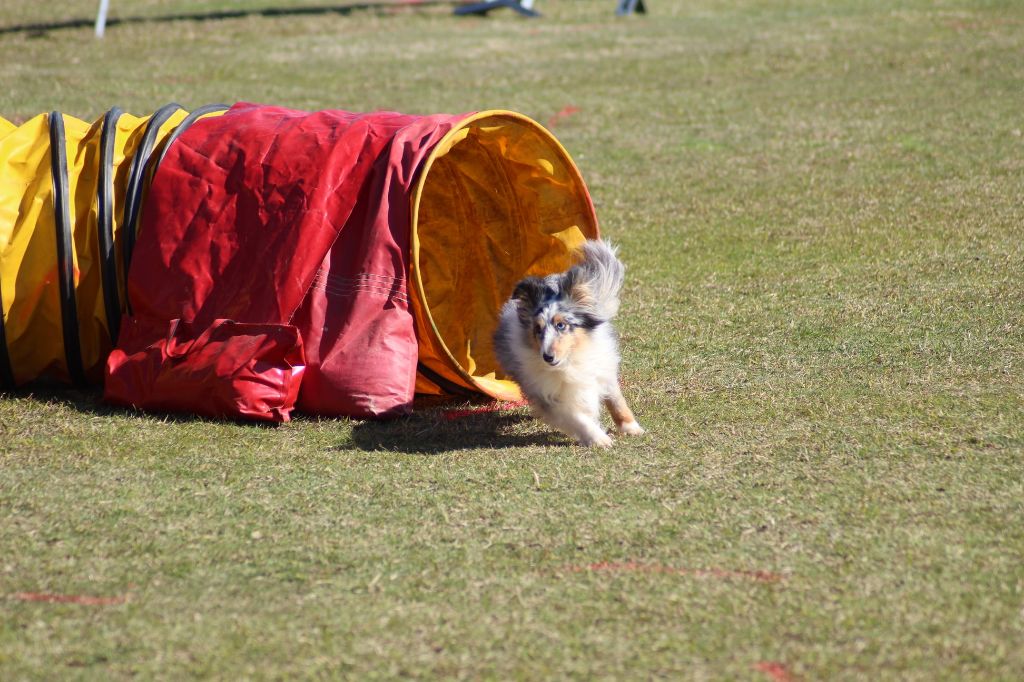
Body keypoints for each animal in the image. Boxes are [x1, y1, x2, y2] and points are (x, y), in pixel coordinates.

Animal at [491, 240, 643, 446]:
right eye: (537, 329)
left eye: (561, 325)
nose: (547, 357)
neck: (571, 359)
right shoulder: (548, 395)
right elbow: (578, 418)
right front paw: (599, 439)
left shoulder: (603, 367)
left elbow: (616, 400)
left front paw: (631, 428)